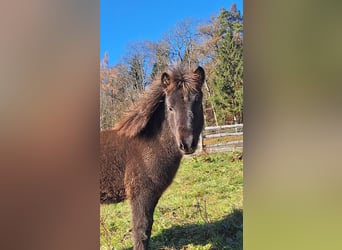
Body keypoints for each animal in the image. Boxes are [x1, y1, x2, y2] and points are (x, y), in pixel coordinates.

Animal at [100, 65, 204, 250]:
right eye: (170, 107)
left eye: (198, 103)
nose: (187, 144)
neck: (148, 146)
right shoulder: (141, 194)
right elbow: (141, 230)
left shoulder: (153, 194)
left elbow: (147, 228)